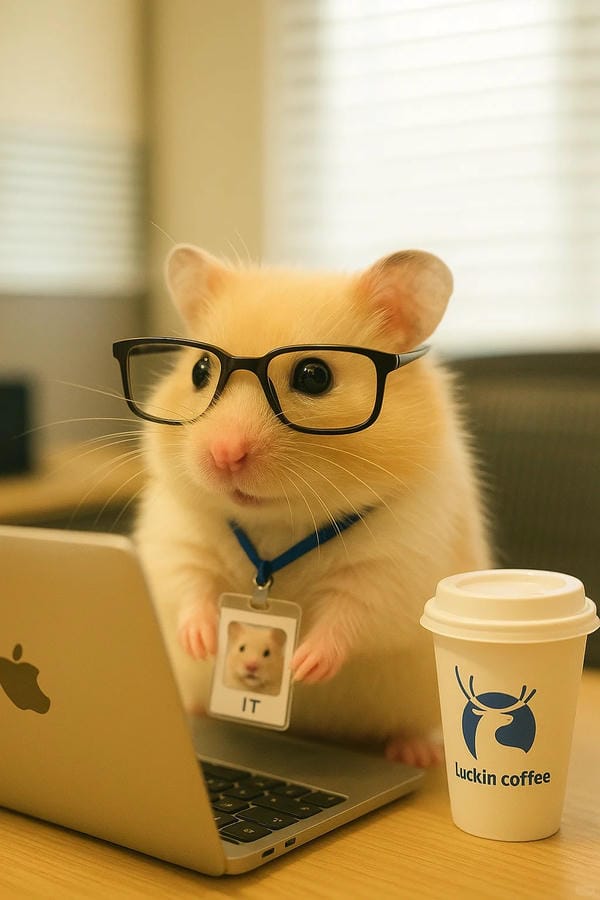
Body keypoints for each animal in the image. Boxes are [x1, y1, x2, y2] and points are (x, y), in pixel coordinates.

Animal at [134, 244, 492, 767]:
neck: (278, 524)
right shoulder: (177, 537)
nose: (224, 454)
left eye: (313, 376)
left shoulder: (395, 567)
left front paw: (302, 665)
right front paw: (203, 644)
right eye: (200, 371)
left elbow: (349, 618)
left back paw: (416, 753)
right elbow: (190, 587)